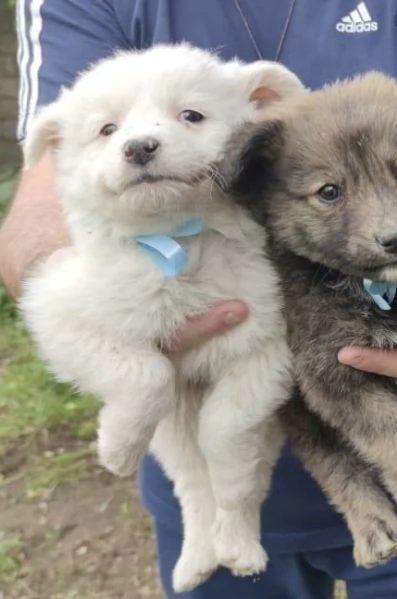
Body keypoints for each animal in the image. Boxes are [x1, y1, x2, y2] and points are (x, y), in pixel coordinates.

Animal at [20, 44, 302, 592]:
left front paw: (230, 480)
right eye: (107, 130)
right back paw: (196, 560)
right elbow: (145, 373)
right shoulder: (61, 315)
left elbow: (226, 432)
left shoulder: (267, 349)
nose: (139, 147)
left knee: (242, 482)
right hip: (171, 432)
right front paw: (115, 449)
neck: (178, 238)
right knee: (191, 490)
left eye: (191, 116)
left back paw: (237, 548)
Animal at [218, 72, 397, 568]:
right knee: (333, 461)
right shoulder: (332, 374)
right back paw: (373, 526)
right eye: (329, 192)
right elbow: (389, 436)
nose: (393, 238)